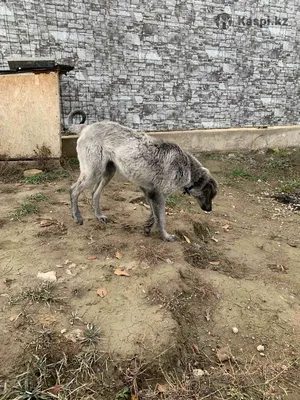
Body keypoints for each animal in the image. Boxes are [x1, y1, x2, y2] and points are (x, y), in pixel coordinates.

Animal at [69, 111, 217, 241]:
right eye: (209, 194)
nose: (209, 210)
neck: (188, 168)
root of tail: (86, 128)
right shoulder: (159, 196)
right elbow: (161, 218)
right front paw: (165, 236)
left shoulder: (149, 192)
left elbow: (154, 215)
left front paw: (147, 227)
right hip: (93, 172)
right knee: (73, 190)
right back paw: (77, 217)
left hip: (108, 172)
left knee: (95, 193)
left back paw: (99, 216)